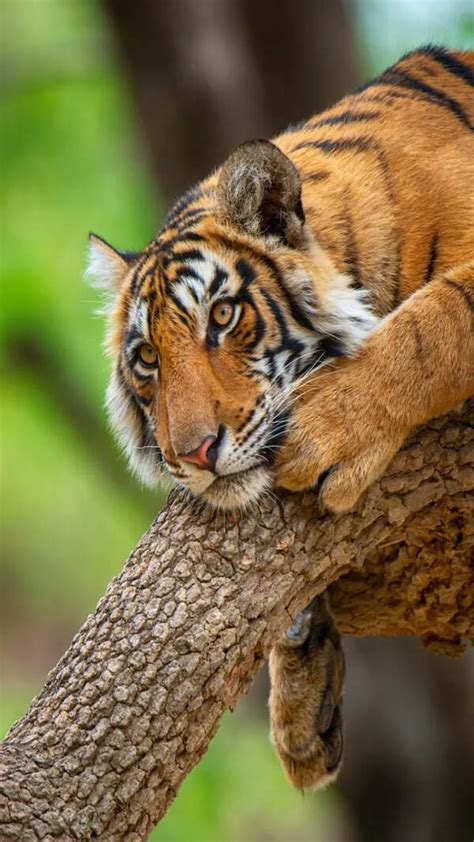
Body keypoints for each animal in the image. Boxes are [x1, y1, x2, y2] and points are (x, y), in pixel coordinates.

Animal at [87, 46, 474, 791]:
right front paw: (300, 716)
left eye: (221, 316)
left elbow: (436, 322)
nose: (194, 454)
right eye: (147, 357)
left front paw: (325, 433)